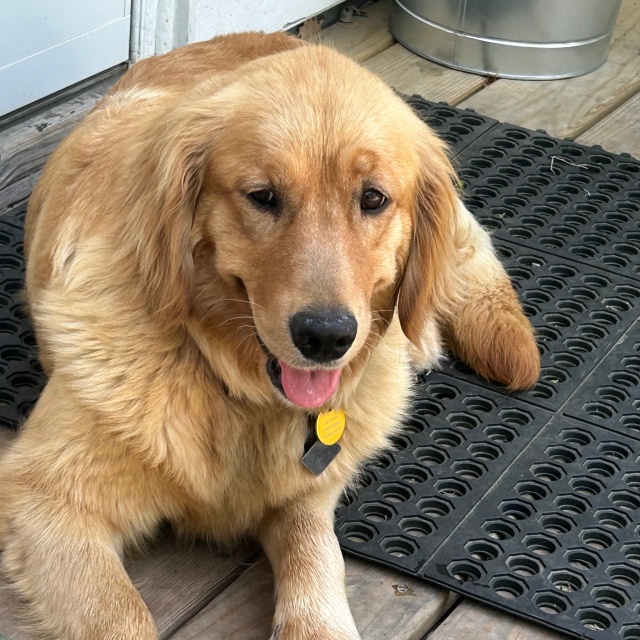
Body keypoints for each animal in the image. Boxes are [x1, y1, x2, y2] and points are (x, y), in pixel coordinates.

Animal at [0, 32, 539, 639]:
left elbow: (317, 557)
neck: (235, 390)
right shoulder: (44, 497)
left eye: (373, 199)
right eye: (262, 195)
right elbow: (123, 616)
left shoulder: (307, 495)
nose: (326, 336)